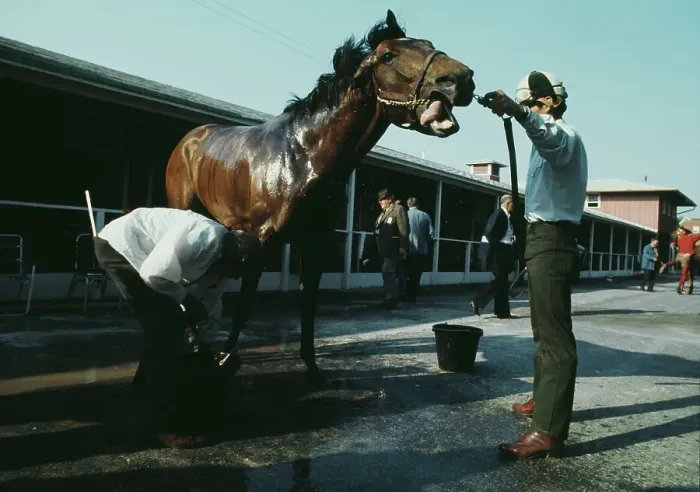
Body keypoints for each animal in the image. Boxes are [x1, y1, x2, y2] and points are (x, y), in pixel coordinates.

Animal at [165, 10, 476, 383]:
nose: (461, 78)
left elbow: (308, 306)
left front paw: (313, 368)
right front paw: (225, 358)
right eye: (389, 56)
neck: (303, 158)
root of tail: (189, 140)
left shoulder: (314, 243)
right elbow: (246, 304)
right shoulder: (260, 242)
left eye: (428, 44)